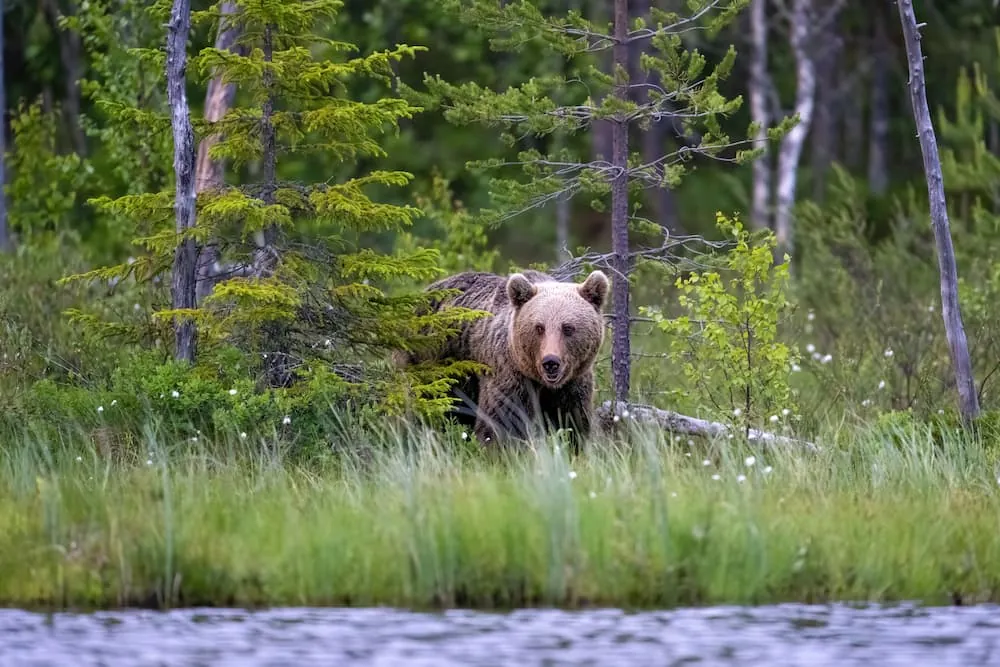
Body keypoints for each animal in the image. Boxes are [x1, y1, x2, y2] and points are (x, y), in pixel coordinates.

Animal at [398, 270, 608, 448]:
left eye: (568, 328)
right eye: (539, 327)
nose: (550, 362)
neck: (541, 382)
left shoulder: (573, 384)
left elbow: (573, 423)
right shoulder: (508, 374)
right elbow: (504, 423)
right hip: (430, 364)